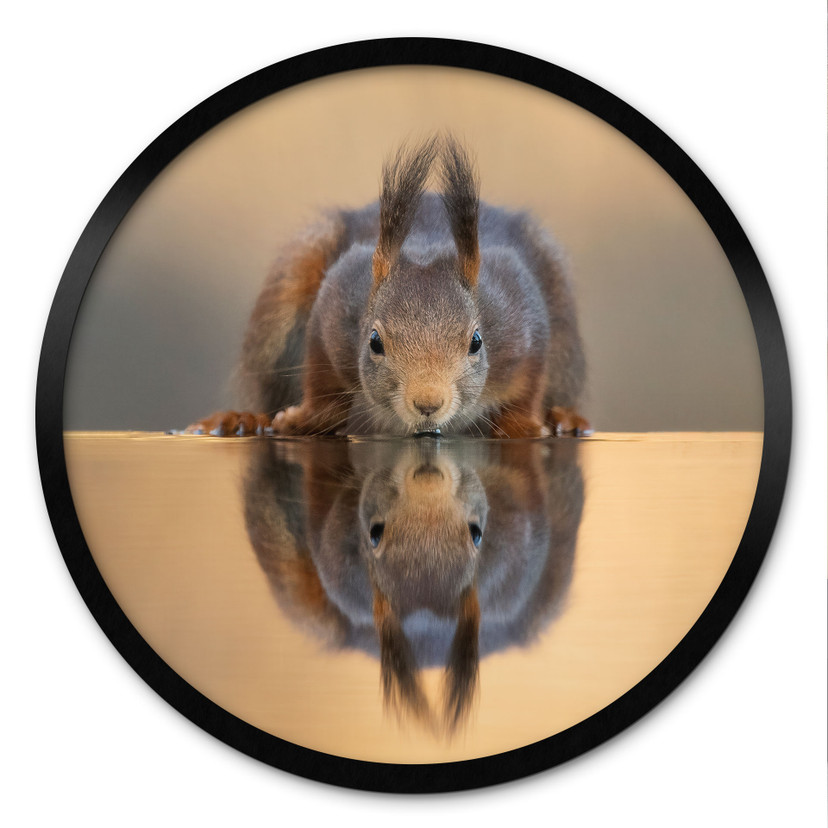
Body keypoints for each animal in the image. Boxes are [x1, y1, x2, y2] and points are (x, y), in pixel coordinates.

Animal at [189, 135, 590, 438]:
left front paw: (524, 426)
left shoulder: (521, 315)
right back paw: (243, 420)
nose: (427, 404)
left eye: (476, 342)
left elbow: (529, 386)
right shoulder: (336, 305)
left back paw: (565, 418)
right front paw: (303, 419)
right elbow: (322, 385)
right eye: (374, 342)